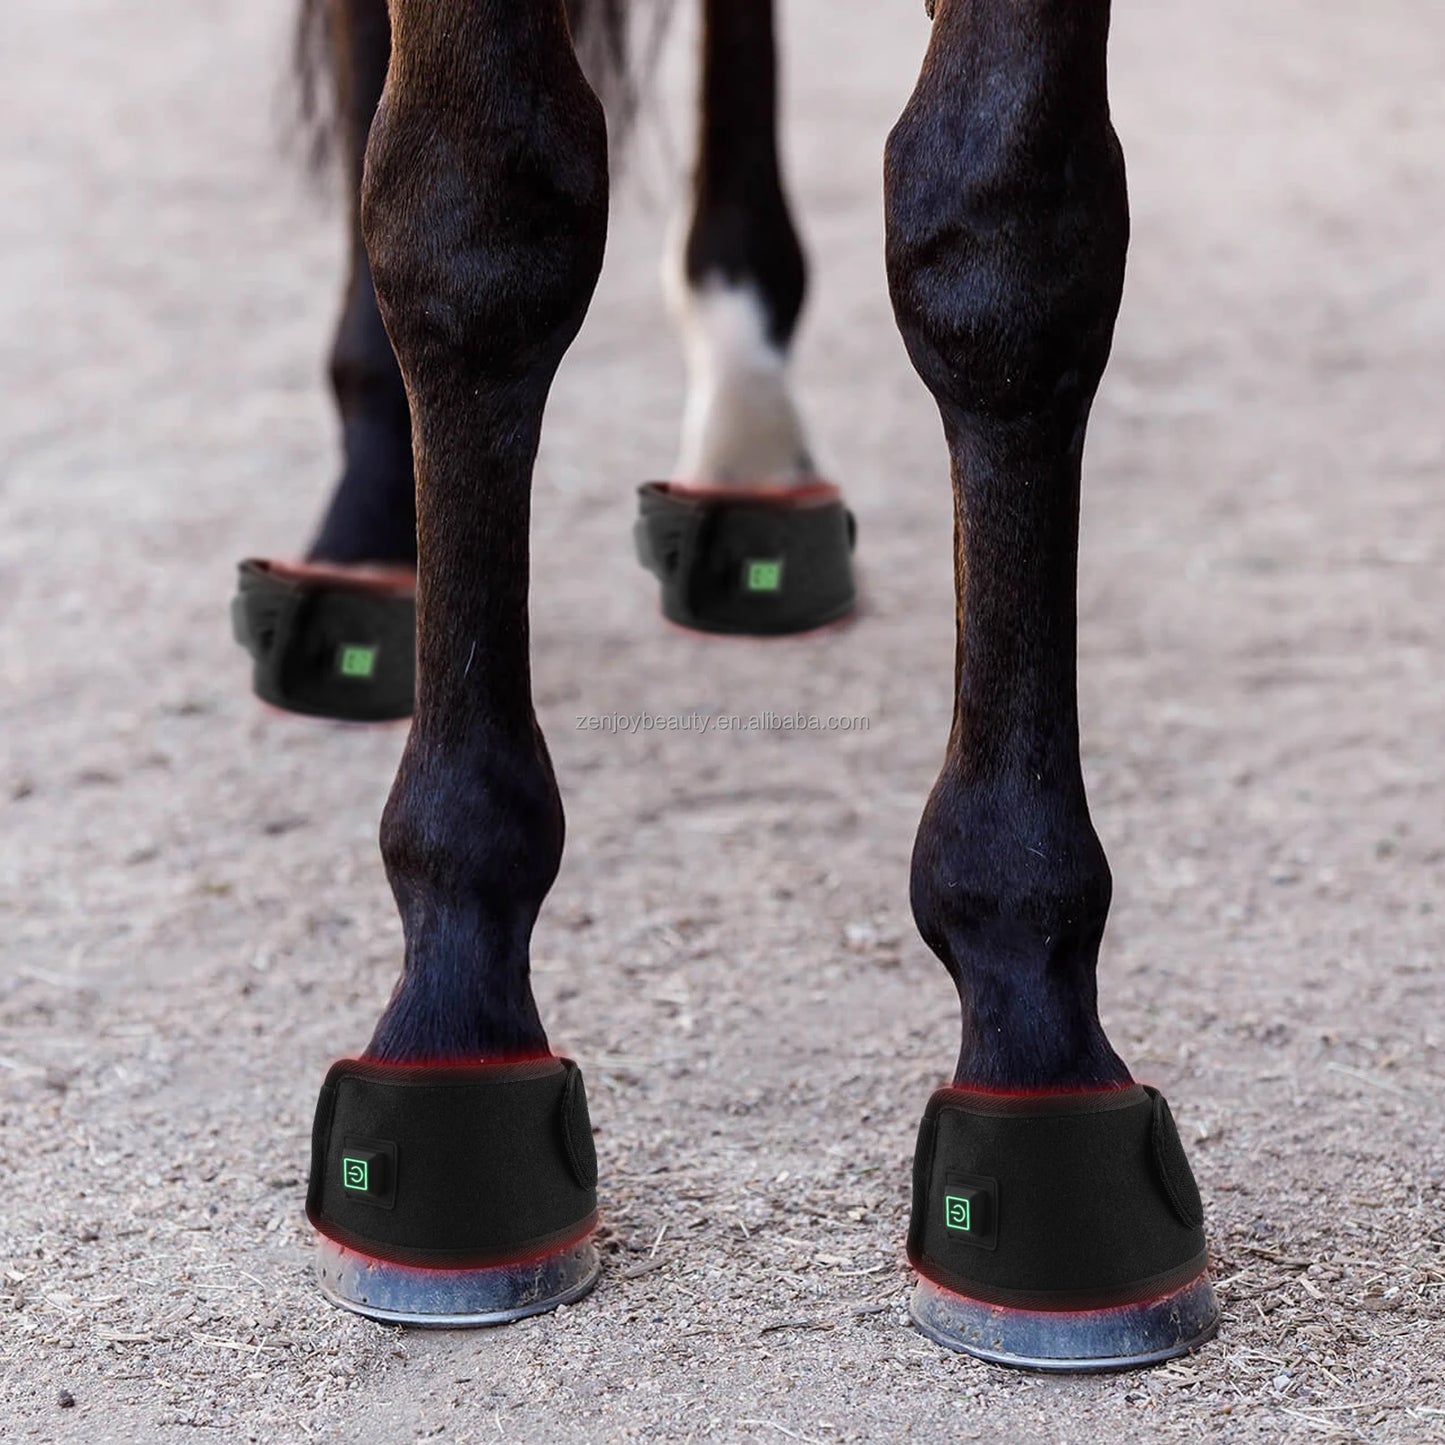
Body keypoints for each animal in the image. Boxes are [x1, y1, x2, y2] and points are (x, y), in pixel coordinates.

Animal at [258, 0, 1219, 1371]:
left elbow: (1008, 240)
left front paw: (1033, 1026)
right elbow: (472, 214)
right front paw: (452, 1009)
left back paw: (751, 447)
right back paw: (365, 532)